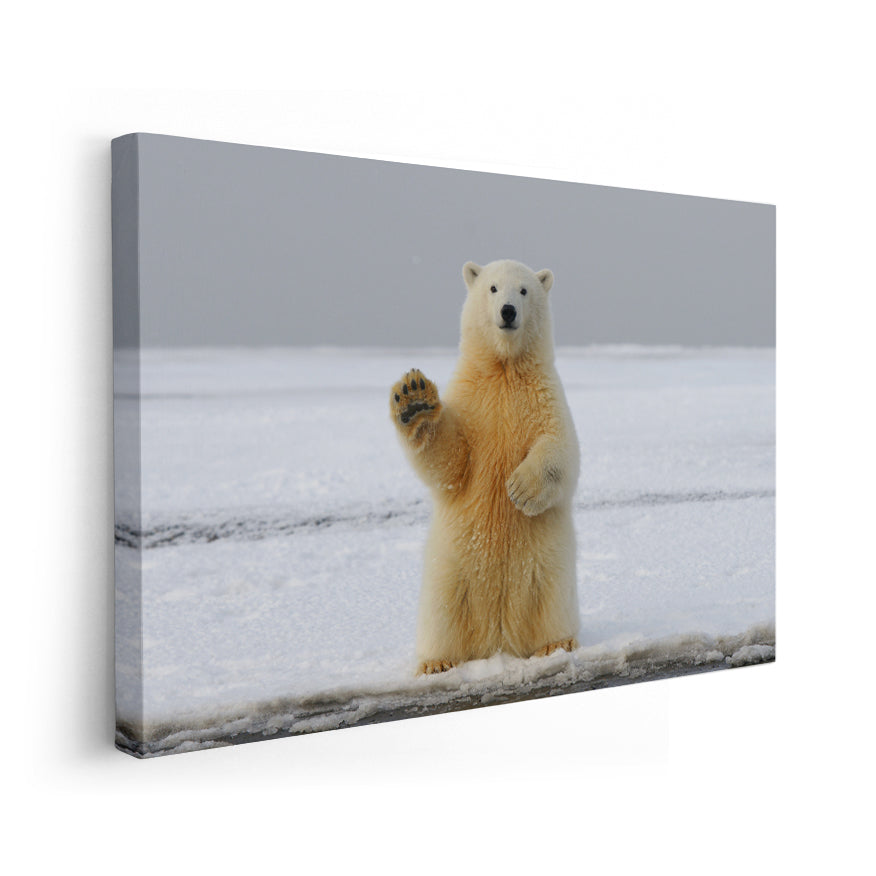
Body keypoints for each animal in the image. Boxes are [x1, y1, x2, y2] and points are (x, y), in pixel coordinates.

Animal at [390, 259, 580, 675]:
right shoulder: (473, 400)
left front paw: (520, 490)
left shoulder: (544, 396)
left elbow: (561, 450)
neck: (504, 369)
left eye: (523, 290)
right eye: (492, 288)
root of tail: (499, 638)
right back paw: (436, 663)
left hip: (548, 567)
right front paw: (414, 399)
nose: (508, 311)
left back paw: (555, 644)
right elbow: (451, 462)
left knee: (551, 601)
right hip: (450, 570)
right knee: (442, 614)